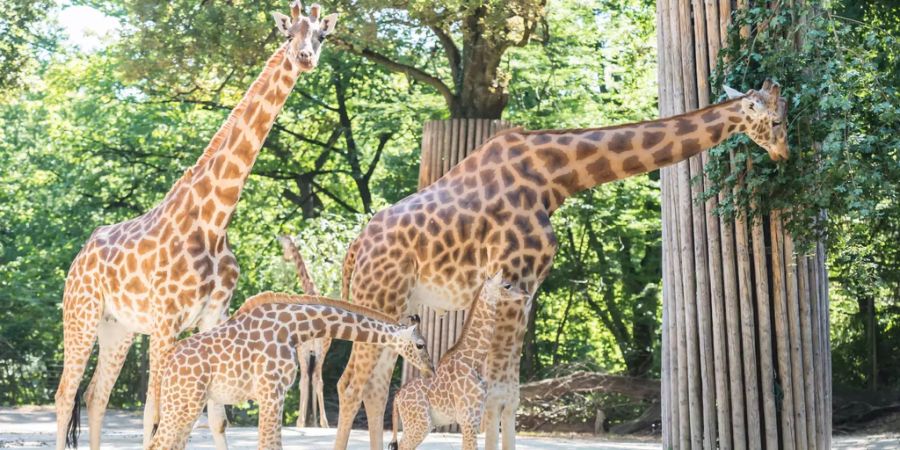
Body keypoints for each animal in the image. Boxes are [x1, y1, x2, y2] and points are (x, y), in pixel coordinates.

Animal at [149, 294, 436, 448]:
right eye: (420, 344)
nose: (431, 370)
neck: (295, 329)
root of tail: (167, 362)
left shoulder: (275, 394)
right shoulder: (270, 392)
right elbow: (269, 444)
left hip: (187, 404)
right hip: (184, 403)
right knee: (159, 443)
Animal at [276, 234, 332, 428]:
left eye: (283, 245)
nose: (285, 257)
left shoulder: (303, 348)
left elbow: (303, 381)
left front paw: (301, 421)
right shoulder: (312, 350)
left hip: (307, 348)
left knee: (307, 379)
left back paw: (304, 422)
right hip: (322, 348)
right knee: (317, 379)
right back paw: (322, 422)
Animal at [386, 270, 528, 450]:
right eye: (507, 285)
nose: (525, 292)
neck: (472, 360)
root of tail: (397, 398)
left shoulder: (473, 418)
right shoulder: (468, 418)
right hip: (420, 423)